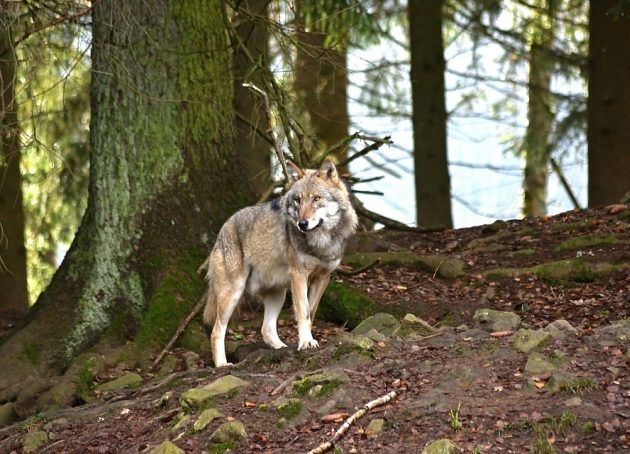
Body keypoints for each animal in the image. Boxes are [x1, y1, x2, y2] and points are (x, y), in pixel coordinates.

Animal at [204, 158, 360, 368]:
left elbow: (310, 312)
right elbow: (303, 312)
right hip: (234, 292)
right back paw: (222, 365)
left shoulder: (323, 277)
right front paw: (306, 342)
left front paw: (306, 341)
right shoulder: (299, 275)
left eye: (316, 198)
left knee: (266, 330)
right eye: (298, 200)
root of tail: (224, 226)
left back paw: (282, 349)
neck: (321, 242)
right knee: (216, 331)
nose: (302, 224)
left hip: (278, 294)